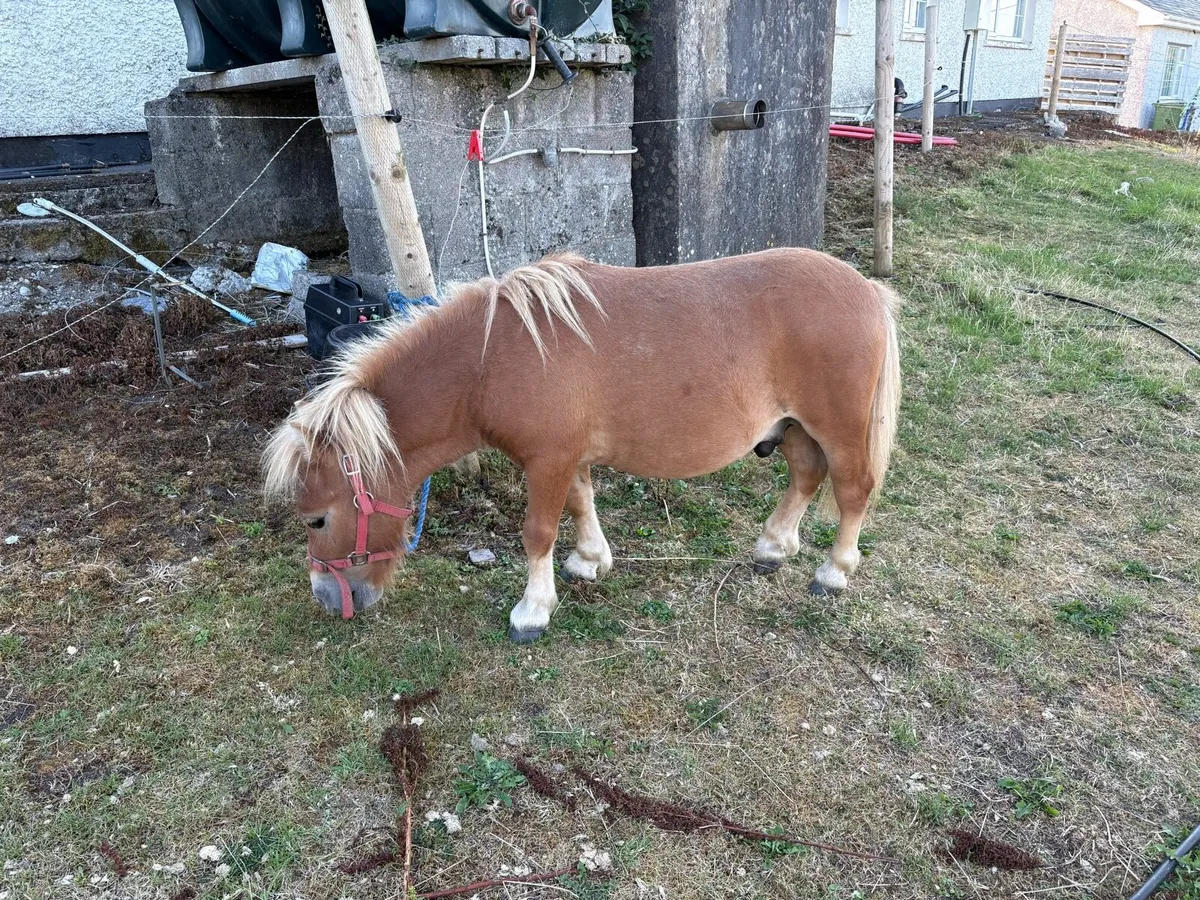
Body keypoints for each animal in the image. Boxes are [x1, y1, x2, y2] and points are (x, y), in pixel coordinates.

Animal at [263, 248, 901, 642]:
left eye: (318, 519)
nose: (328, 598)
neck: (491, 359)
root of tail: (867, 289)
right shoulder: (564, 456)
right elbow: (580, 504)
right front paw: (589, 560)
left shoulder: (546, 459)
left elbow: (539, 531)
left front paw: (532, 610)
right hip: (792, 428)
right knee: (806, 476)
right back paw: (773, 546)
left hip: (839, 429)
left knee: (853, 490)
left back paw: (834, 571)